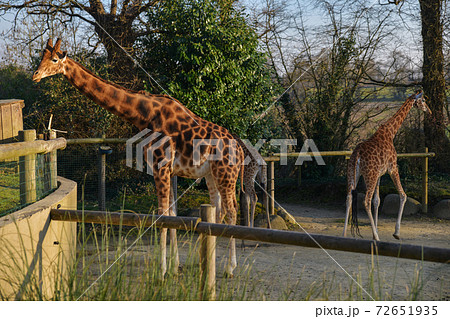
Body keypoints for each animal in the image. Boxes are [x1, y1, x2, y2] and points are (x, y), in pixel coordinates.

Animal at [34, 38, 246, 278]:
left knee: (232, 211)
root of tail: (240, 149)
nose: (35, 75)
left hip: (226, 174)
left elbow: (162, 214)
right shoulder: (168, 170)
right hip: (211, 175)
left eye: (53, 59)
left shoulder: (160, 166)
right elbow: (172, 213)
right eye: (40, 57)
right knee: (218, 211)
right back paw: (210, 264)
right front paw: (174, 267)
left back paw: (230, 268)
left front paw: (161, 271)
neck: (144, 114)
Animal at [344, 89, 432, 240]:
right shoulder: (393, 168)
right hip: (370, 175)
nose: (429, 111)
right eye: (424, 100)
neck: (391, 132)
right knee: (365, 201)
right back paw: (377, 237)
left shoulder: (380, 173)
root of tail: (357, 155)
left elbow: (377, 201)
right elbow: (403, 195)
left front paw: (376, 232)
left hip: (354, 173)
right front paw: (395, 233)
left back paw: (344, 234)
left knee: (349, 197)